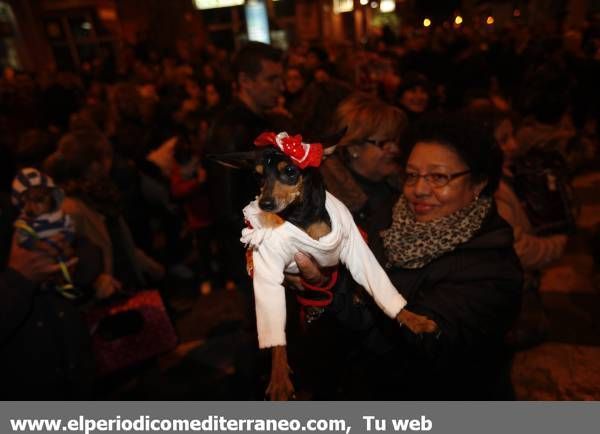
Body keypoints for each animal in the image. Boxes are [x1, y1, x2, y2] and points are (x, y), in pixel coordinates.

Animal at [12, 168, 77, 296]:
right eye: (23, 201)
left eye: (40, 199)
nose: (28, 213)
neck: (45, 217)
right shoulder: (26, 233)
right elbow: (38, 242)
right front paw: (48, 247)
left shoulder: (65, 223)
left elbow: (68, 235)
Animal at [213, 131, 438, 400]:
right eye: (257, 176)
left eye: (290, 171)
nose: (265, 204)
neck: (299, 218)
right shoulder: (268, 272)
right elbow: (275, 336)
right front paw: (278, 379)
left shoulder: (353, 247)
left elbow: (380, 290)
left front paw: (414, 319)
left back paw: (355, 295)